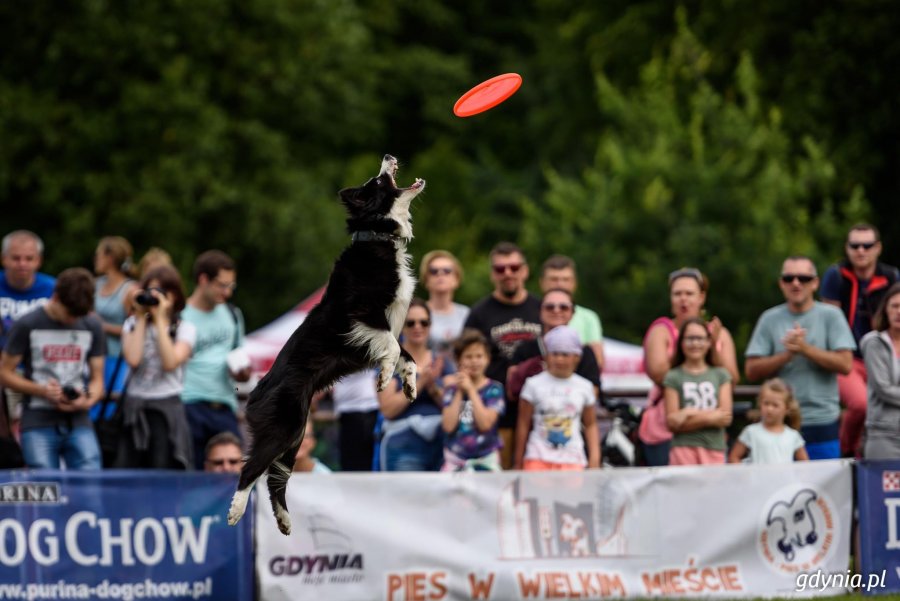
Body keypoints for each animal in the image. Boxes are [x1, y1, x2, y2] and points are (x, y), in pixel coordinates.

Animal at [225, 155, 422, 536]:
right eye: (377, 183)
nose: (389, 157)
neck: (377, 237)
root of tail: (253, 393)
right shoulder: (361, 316)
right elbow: (392, 347)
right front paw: (383, 378)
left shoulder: (385, 324)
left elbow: (409, 356)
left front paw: (409, 386)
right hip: (284, 426)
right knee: (250, 469)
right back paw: (236, 512)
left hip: (296, 434)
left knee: (275, 479)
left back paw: (285, 521)